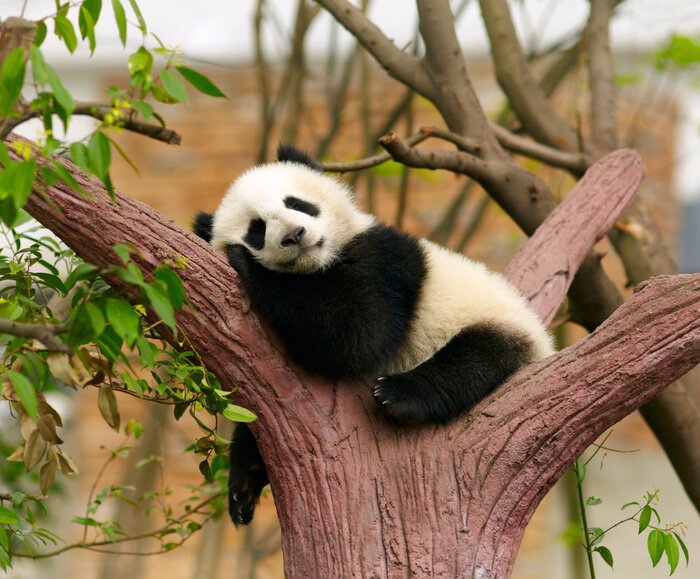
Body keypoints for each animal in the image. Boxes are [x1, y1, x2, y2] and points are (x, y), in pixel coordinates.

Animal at [193, 145, 553, 525]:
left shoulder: (384, 261)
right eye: (257, 229)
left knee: (475, 359)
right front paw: (243, 483)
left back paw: (399, 394)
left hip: (495, 322)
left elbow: (357, 334)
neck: (318, 265)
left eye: (297, 203)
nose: (294, 234)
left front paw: (247, 265)